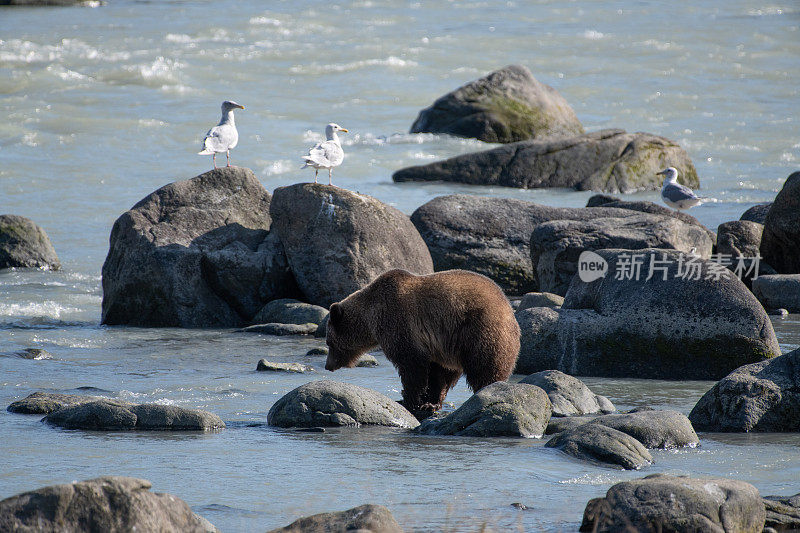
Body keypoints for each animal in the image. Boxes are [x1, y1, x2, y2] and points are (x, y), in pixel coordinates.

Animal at [324, 270, 520, 416]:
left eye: (329, 342)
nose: (328, 366)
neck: (371, 316)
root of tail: (510, 310)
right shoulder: (433, 346)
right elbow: (433, 372)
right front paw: (424, 401)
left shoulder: (398, 323)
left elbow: (411, 365)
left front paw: (408, 400)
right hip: (452, 345)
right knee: (446, 373)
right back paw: (433, 403)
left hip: (481, 331)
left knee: (485, 367)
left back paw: (486, 390)